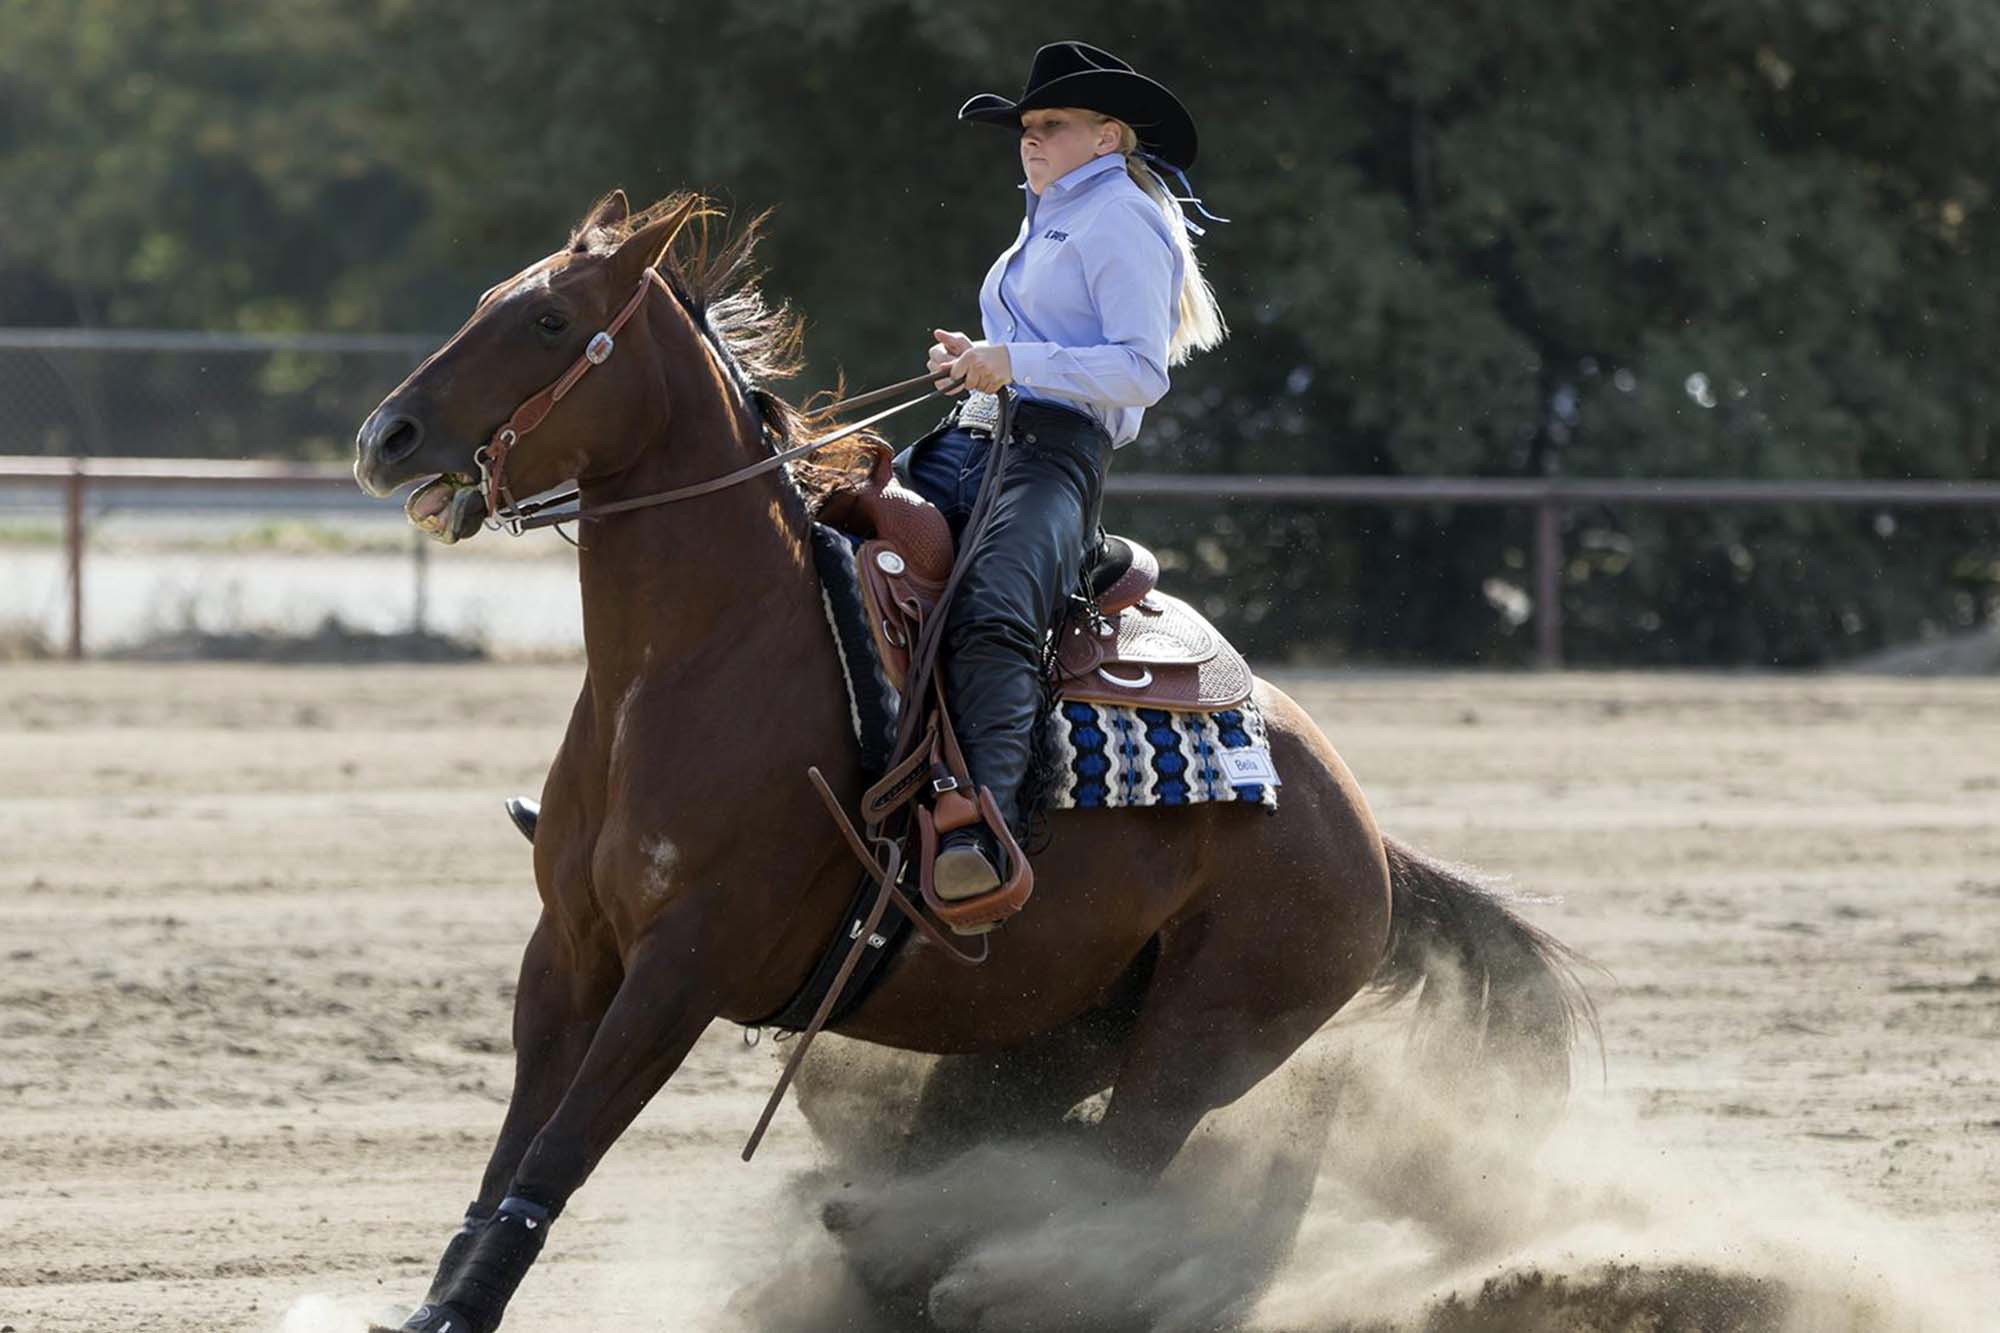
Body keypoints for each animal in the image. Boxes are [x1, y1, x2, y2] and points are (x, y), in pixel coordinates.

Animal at [348, 189, 1592, 1328]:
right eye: (488, 300)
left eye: (550, 320)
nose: (384, 439)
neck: (700, 660)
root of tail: (1363, 833)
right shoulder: (568, 949)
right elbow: (512, 1151)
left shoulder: (684, 964)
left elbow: (556, 1151)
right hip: (1045, 1036)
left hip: (1203, 1038)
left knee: (1117, 1180)